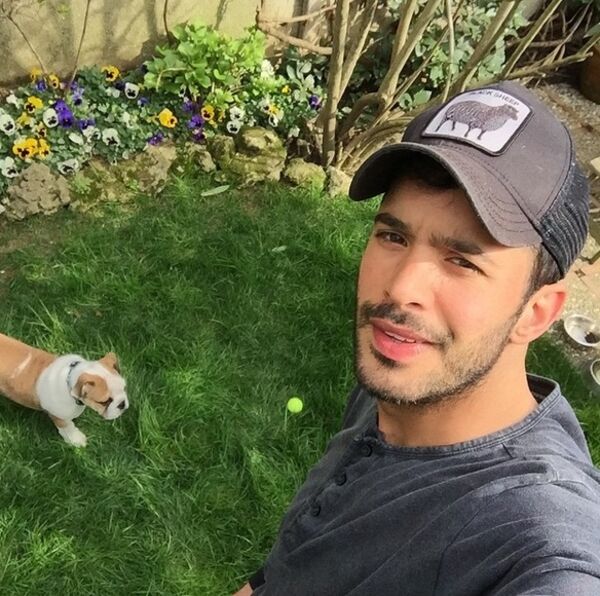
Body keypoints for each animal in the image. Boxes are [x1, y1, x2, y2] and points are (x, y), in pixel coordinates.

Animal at [0, 332, 129, 447]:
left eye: (124, 388)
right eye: (104, 402)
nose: (122, 404)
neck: (70, 377)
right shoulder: (59, 416)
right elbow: (68, 427)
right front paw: (76, 439)